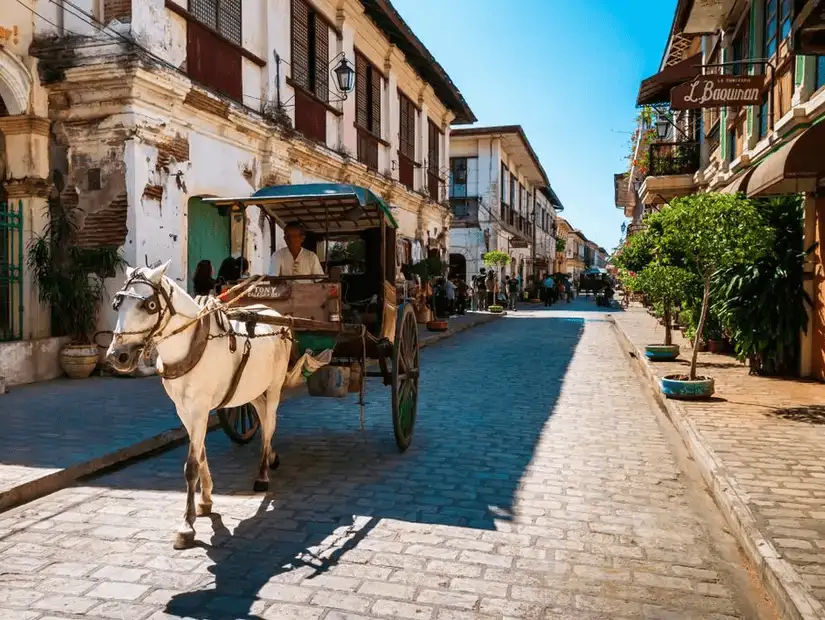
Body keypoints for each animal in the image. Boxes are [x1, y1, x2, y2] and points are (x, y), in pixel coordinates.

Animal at [105, 262, 292, 548]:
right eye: (118, 304)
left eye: (149, 305)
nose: (118, 356)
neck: (191, 344)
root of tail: (274, 314)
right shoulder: (184, 410)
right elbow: (201, 453)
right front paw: (205, 501)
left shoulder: (200, 408)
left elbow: (191, 465)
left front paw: (187, 525)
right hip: (252, 390)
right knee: (264, 421)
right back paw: (270, 456)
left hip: (274, 387)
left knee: (270, 423)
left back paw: (262, 474)